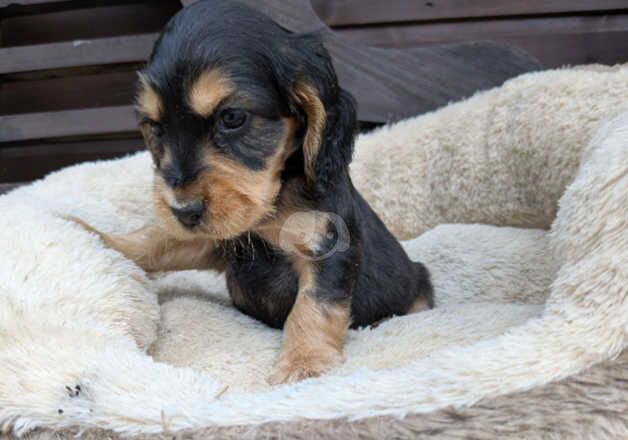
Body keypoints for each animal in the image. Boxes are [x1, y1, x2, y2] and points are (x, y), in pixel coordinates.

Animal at [73, 0, 434, 384]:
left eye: (232, 117)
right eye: (154, 127)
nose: (183, 210)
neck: (272, 204)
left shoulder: (328, 248)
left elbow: (314, 305)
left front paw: (303, 363)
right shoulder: (216, 241)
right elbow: (156, 242)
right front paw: (91, 234)